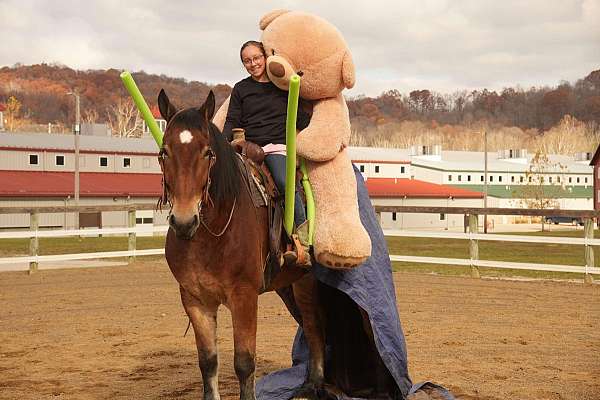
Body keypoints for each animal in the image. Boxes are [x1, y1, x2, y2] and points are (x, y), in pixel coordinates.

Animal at [155, 89, 324, 398]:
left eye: (207, 153)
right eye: (164, 152)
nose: (183, 221)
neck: (211, 236)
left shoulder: (243, 297)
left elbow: (244, 363)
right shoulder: (195, 300)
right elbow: (208, 361)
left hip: (307, 280)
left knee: (315, 325)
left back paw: (313, 384)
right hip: (288, 284)